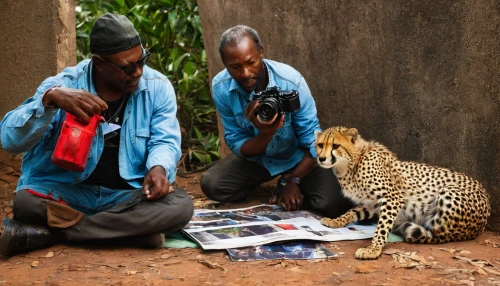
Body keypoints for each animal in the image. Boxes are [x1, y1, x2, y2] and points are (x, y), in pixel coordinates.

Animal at [314, 126, 490, 260]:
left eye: (335, 146)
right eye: (320, 145)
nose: (321, 159)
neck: (351, 164)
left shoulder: (393, 198)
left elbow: (382, 227)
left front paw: (373, 249)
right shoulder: (372, 203)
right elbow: (352, 212)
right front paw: (336, 221)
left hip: (447, 193)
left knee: (438, 233)